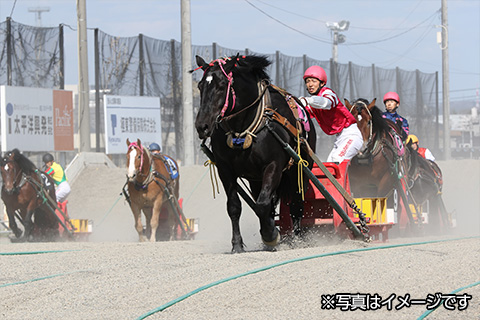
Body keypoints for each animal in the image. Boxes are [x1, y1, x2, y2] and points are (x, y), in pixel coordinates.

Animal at [193, 54, 316, 252]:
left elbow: (262, 205)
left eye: (222, 85)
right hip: (255, 179)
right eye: (200, 86)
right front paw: (237, 244)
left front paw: (271, 235)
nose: (202, 126)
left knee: (296, 202)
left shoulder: (274, 166)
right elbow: (234, 206)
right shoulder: (225, 169)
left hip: (299, 169)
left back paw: (296, 238)